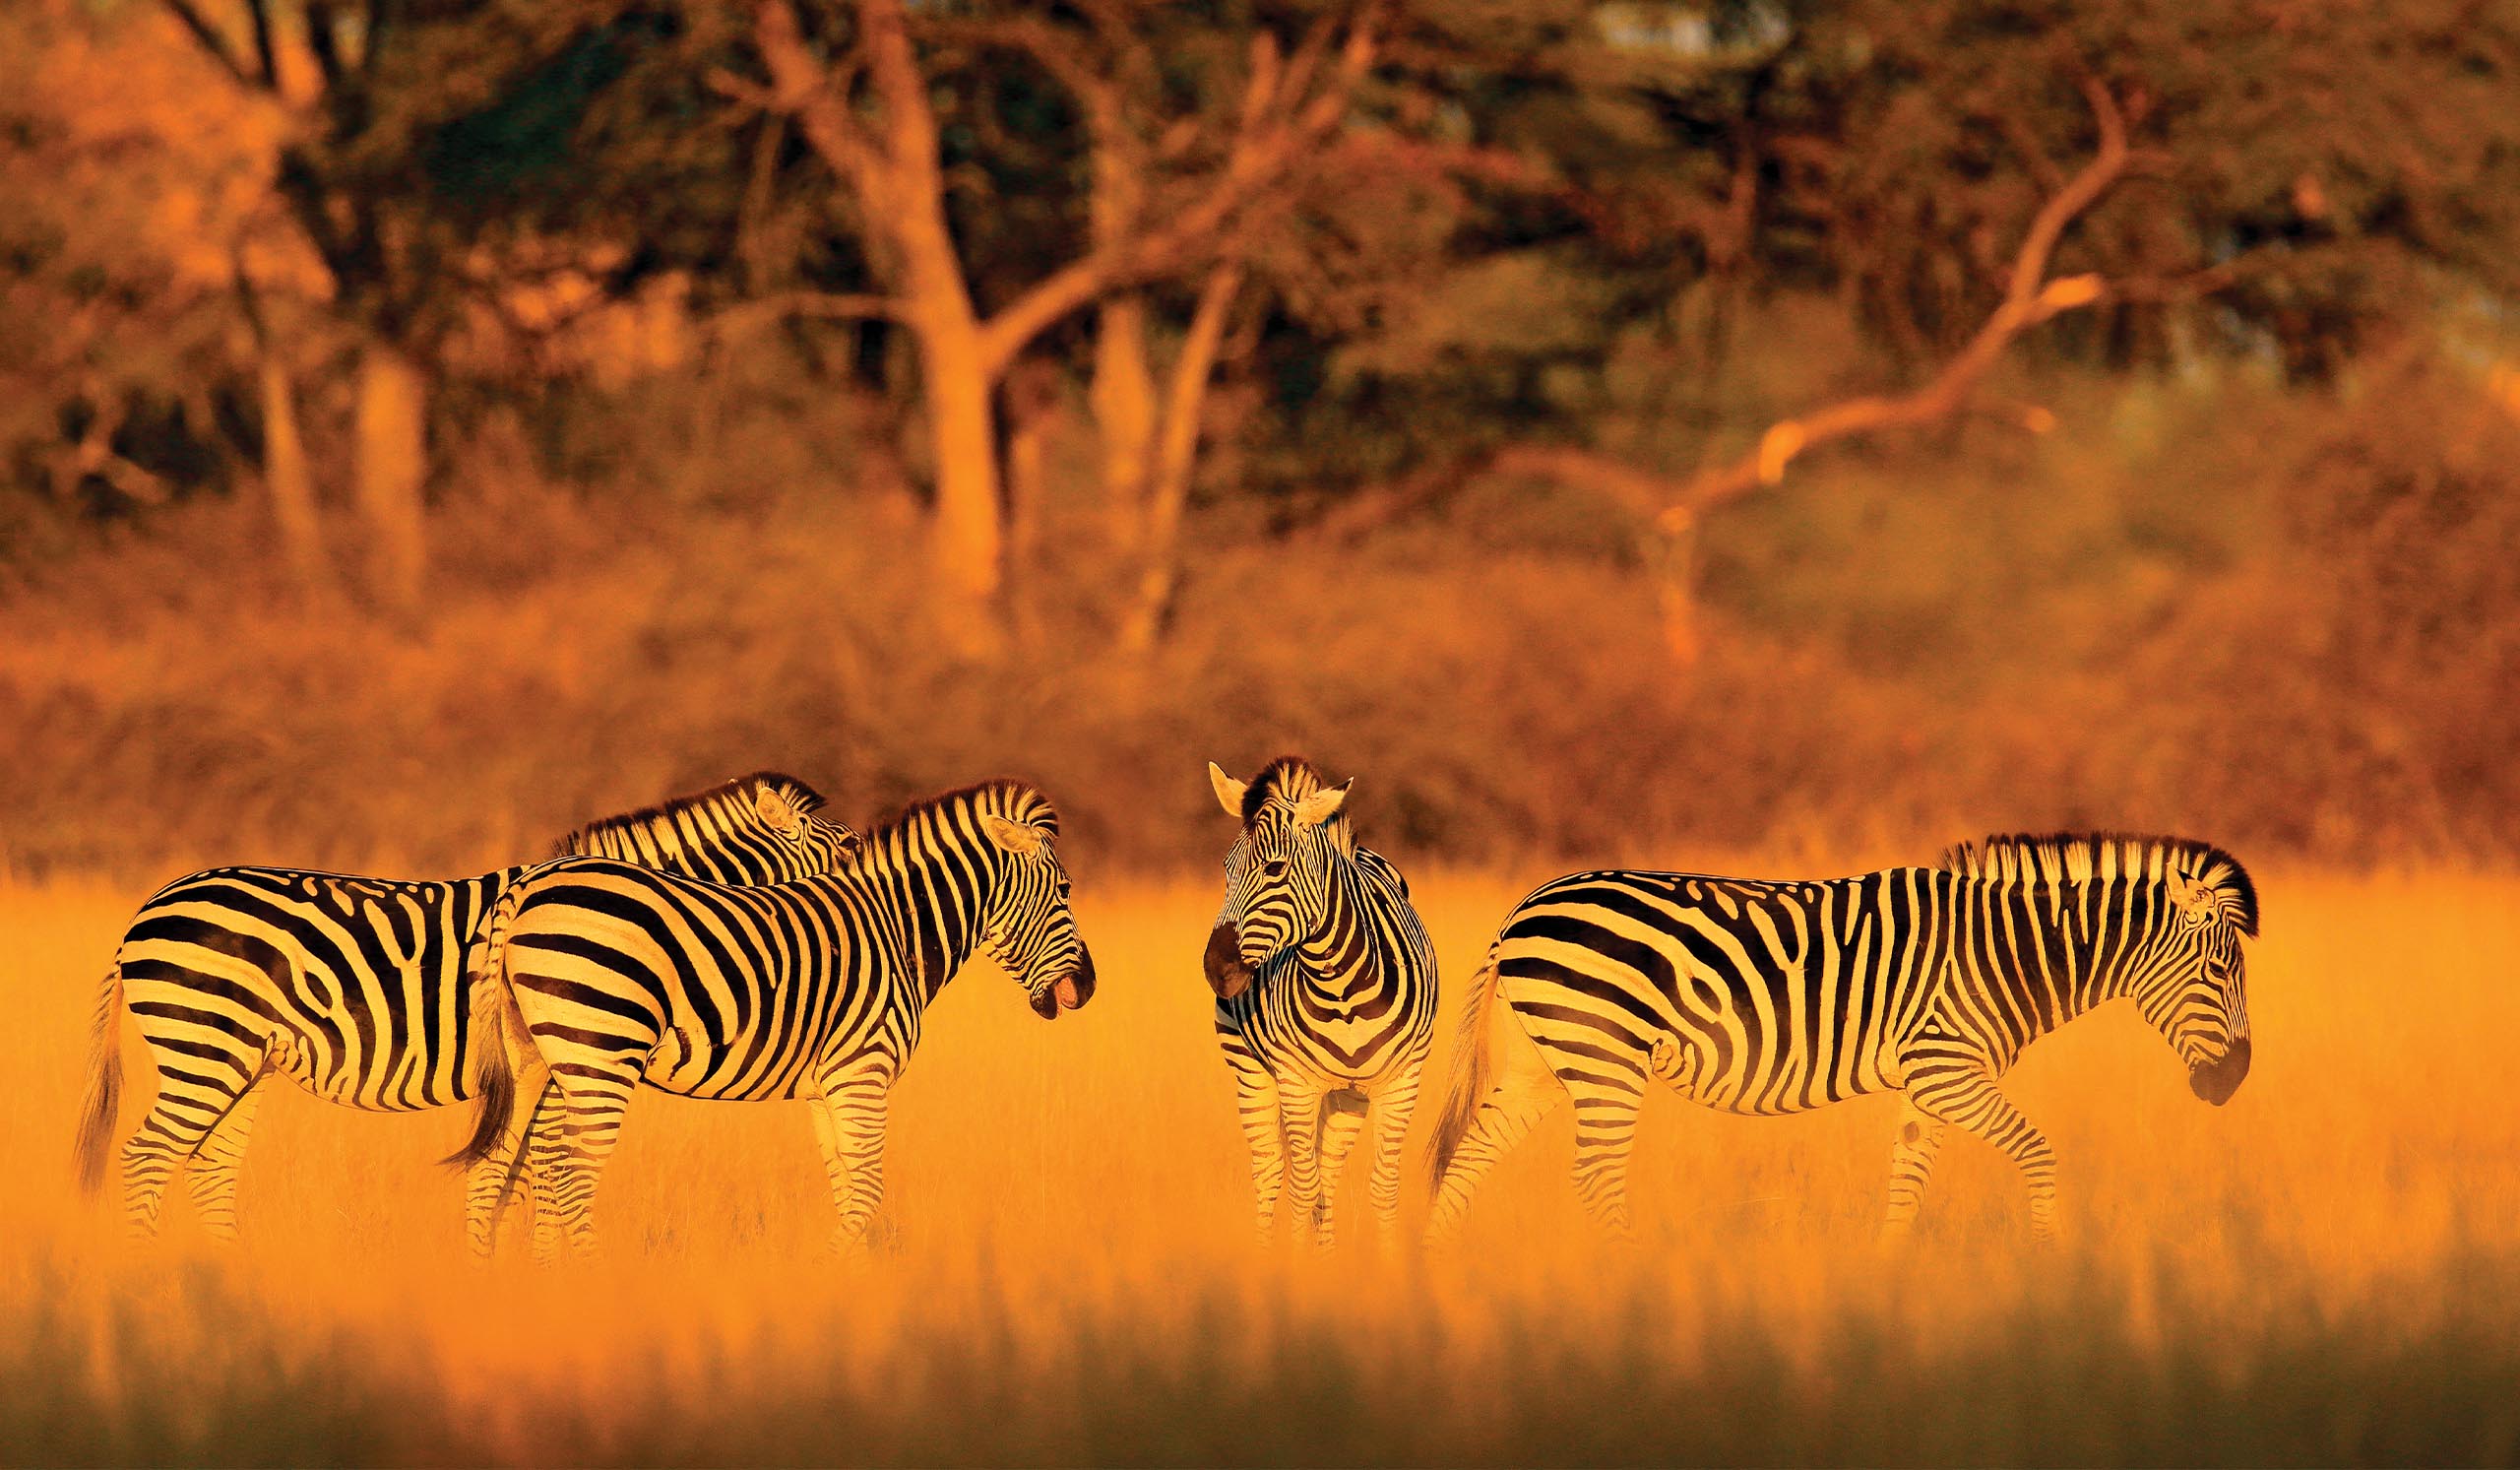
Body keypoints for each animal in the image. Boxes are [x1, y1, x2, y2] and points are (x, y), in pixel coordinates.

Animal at [72, 771, 860, 1252]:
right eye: (851, 850)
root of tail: (146, 909)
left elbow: (514, 1180)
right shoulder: (556, 1069)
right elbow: (538, 1180)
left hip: (243, 1059)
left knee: (207, 1166)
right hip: (206, 1045)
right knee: (149, 1157)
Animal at [450, 779, 1095, 1258]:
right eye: (1064, 890)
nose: (1088, 988)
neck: (896, 927)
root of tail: (527, 887)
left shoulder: (829, 1084)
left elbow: (846, 1186)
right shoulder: (864, 1071)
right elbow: (867, 1190)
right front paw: (829, 1274)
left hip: (529, 1058)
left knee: (492, 1171)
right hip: (600, 1048)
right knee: (573, 1179)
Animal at [1203, 758, 1437, 1246]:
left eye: (1275, 869)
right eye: (1226, 869)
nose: (1216, 968)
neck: (1343, 989)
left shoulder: (1403, 1081)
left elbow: (1381, 1187)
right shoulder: (1296, 1081)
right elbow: (1301, 1188)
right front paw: (1296, 1262)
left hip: (1350, 1095)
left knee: (1328, 1172)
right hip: (1249, 1069)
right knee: (1271, 1171)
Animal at [1424, 833, 2255, 1243]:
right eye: (2219, 970)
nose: (2235, 1081)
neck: (2006, 953)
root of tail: (1521, 911)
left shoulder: (1929, 1080)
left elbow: (1907, 1180)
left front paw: (1887, 1281)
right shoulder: (1948, 1065)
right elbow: (2038, 1150)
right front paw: (2051, 1260)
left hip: (1544, 1061)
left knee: (1468, 1157)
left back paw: (1435, 1274)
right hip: (1604, 1056)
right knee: (1593, 1177)